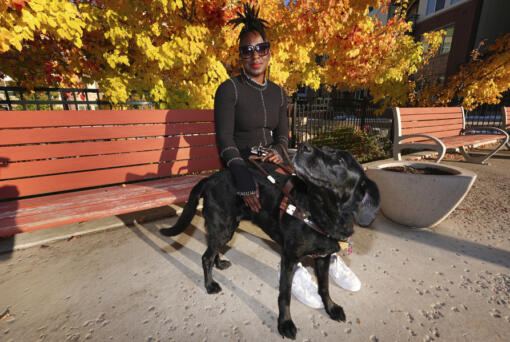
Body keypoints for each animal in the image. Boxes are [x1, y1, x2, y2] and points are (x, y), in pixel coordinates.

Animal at [159, 142, 378, 340]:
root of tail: (210, 178)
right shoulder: (289, 258)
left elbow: (324, 286)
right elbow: (285, 295)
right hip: (223, 227)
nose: (303, 146)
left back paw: (219, 263)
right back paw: (210, 284)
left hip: (227, 228)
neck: (319, 212)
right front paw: (285, 323)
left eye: (340, 160)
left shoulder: (323, 257)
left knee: (213, 251)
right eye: (324, 149)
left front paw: (331, 308)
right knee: (206, 256)